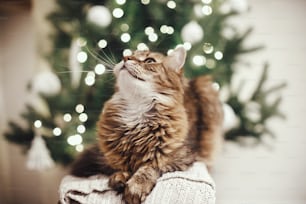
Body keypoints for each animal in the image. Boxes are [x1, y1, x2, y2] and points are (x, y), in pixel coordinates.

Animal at [71, 46, 224, 204]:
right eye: (129, 55)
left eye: (150, 61)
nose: (125, 58)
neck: (136, 112)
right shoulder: (115, 156)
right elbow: (120, 167)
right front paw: (120, 177)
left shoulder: (179, 157)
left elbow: (150, 167)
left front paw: (136, 187)